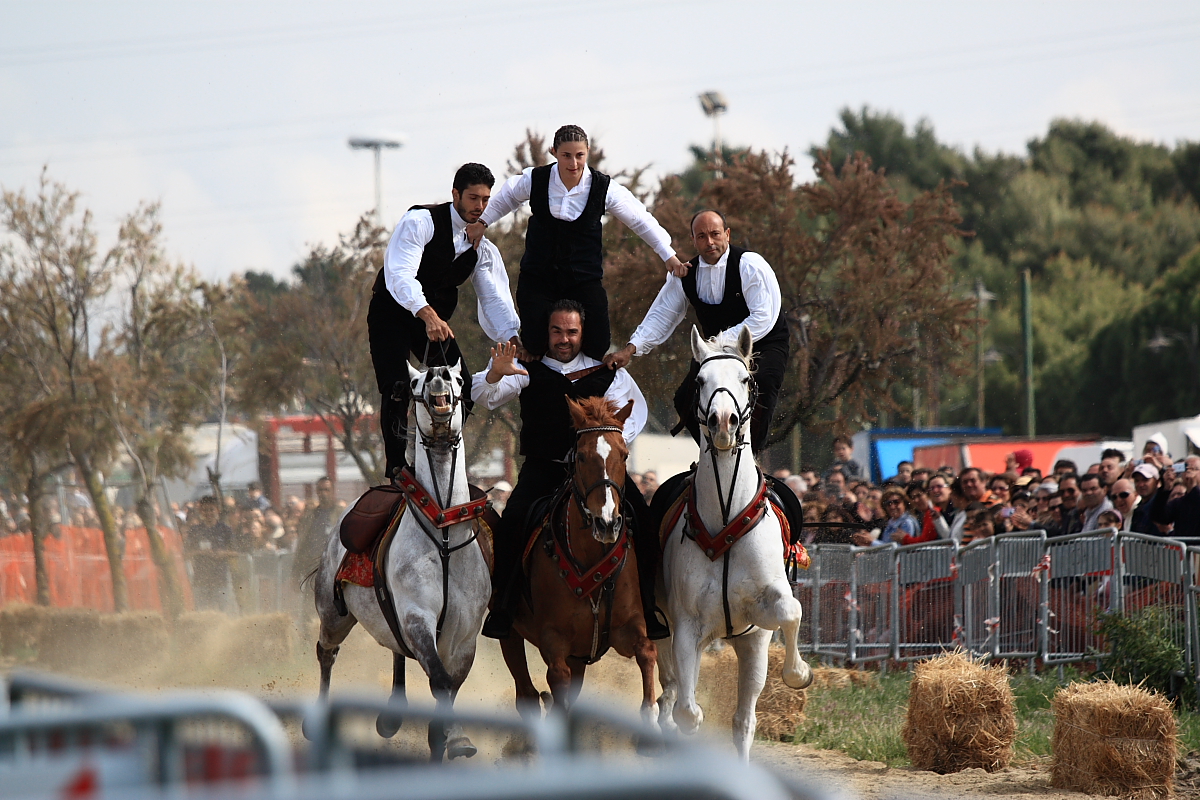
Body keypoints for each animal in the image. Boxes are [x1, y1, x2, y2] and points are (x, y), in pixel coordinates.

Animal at [316, 362, 494, 762]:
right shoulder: (416, 618)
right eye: (416, 380)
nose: (438, 371)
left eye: (459, 378)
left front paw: (451, 739)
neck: (443, 534)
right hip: (333, 615)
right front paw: (457, 737)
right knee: (326, 653)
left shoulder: (464, 638)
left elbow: (448, 691)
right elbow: (440, 681)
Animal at [496, 398, 657, 729]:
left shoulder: (627, 629)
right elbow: (557, 681)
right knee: (527, 693)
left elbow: (647, 652)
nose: (607, 523)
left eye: (624, 455)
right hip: (512, 634)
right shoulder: (554, 642)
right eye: (581, 456)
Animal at [657, 326, 816, 762]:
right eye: (699, 381)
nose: (723, 422)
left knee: (744, 720)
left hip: (749, 648)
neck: (726, 520)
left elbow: (792, 611)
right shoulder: (686, 628)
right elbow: (687, 711)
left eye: (745, 379)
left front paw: (799, 673)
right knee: (669, 692)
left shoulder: (760, 618)